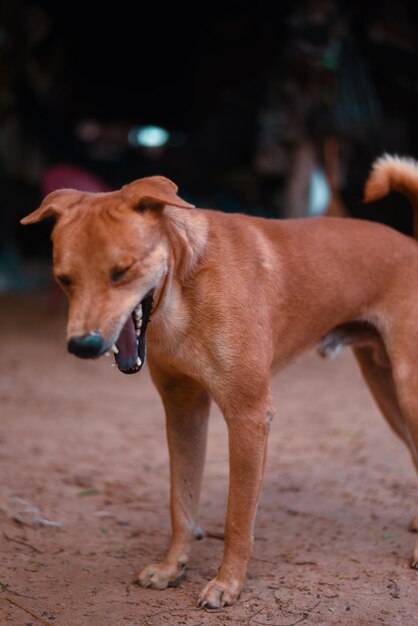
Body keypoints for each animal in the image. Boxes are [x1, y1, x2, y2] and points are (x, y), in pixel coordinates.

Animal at [21, 154, 418, 608]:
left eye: (122, 271)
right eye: (64, 278)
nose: (83, 345)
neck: (183, 291)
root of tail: (412, 243)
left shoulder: (248, 415)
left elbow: (237, 518)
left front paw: (228, 583)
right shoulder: (183, 410)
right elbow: (181, 502)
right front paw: (171, 568)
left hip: (407, 390)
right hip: (387, 392)